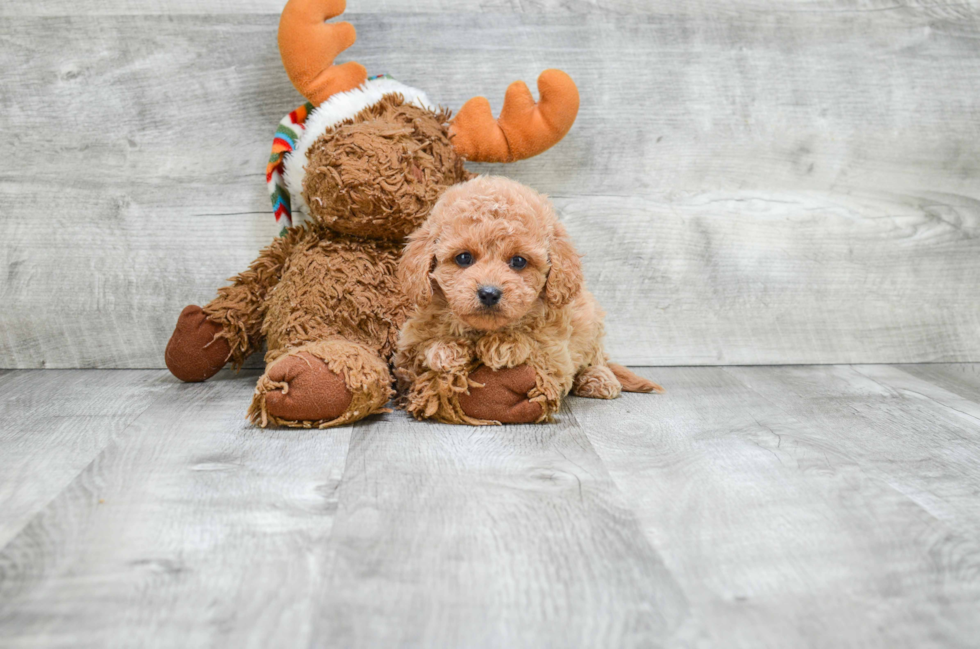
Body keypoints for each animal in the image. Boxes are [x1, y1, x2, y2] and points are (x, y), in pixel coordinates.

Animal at [394, 175, 664, 422]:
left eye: (518, 261)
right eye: (463, 258)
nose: (489, 293)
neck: (483, 329)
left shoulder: (556, 356)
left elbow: (535, 346)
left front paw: (504, 344)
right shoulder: (406, 354)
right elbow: (421, 352)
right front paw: (445, 348)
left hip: (591, 319)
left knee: (596, 357)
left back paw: (599, 379)